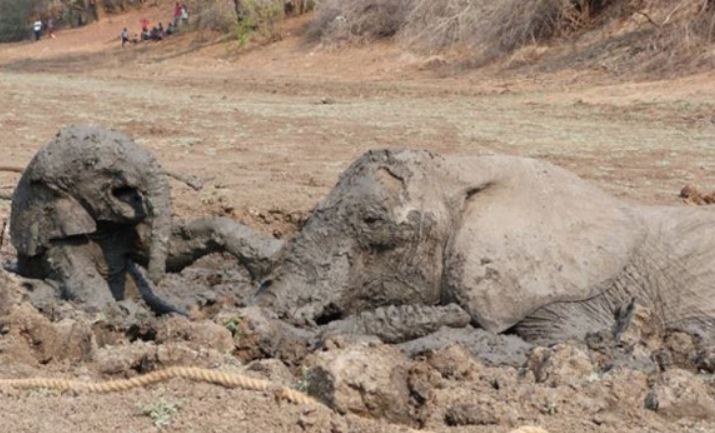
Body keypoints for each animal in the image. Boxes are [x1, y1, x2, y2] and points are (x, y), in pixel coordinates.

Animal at [9, 126, 282, 312]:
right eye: (94, 163)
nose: (155, 279)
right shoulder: (59, 244)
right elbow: (91, 294)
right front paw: (126, 312)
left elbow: (175, 251)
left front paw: (272, 254)